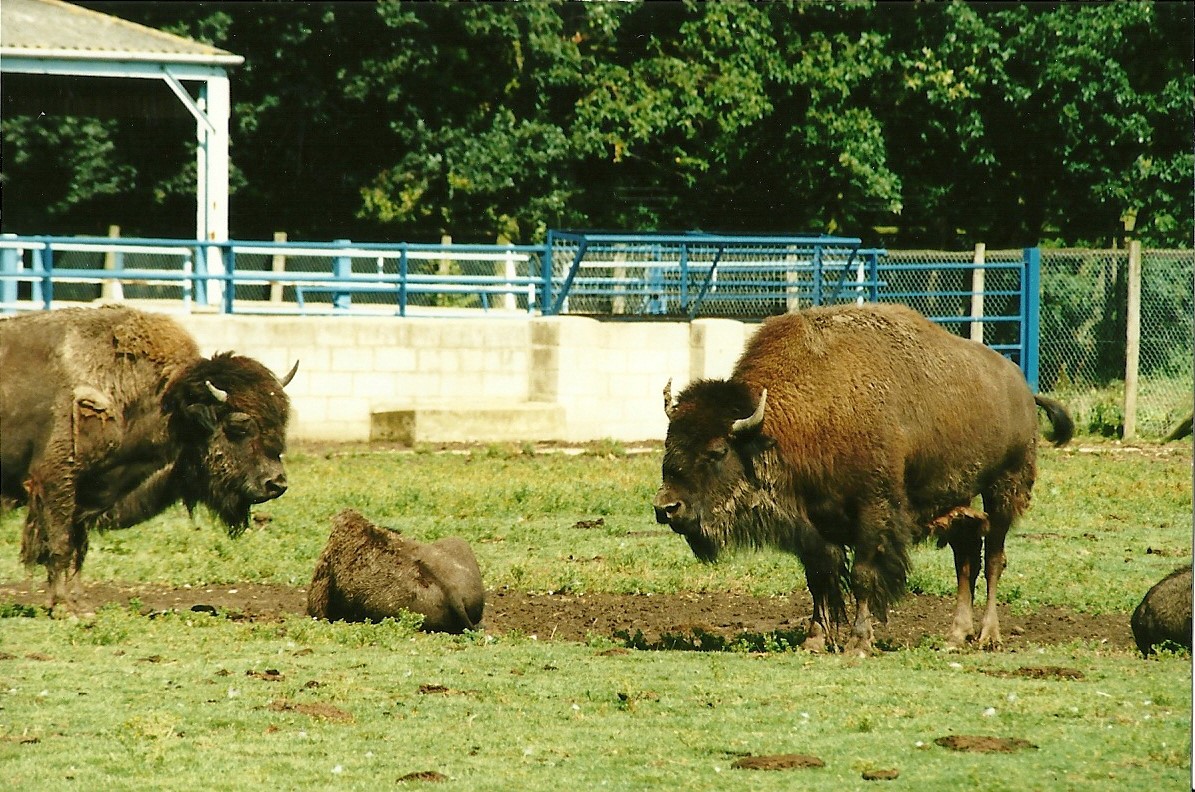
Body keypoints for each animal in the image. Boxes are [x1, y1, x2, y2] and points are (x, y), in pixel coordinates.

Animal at [0, 305, 295, 616]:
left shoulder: (86, 494)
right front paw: (64, 607)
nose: (276, 483)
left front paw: (80, 602)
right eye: (239, 426)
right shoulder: (55, 481)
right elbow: (59, 543)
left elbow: (78, 548)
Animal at [653, 303, 1073, 654]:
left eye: (717, 451)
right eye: (669, 443)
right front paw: (814, 641)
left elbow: (862, 576)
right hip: (960, 498)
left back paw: (988, 636)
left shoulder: (873, 512)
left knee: (994, 558)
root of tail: (1022, 388)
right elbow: (820, 579)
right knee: (966, 554)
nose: (666, 507)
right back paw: (955, 637)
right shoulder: (814, 526)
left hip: (1003, 488)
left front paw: (858, 642)